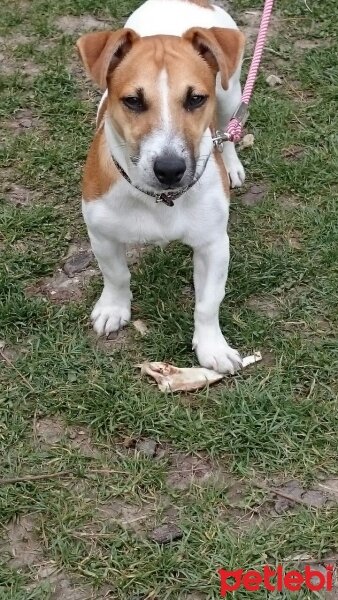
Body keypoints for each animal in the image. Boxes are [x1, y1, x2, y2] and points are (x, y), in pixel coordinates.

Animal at [76, 0, 246, 372]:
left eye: (195, 99)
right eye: (133, 101)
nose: (170, 169)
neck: (160, 199)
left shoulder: (213, 244)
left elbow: (208, 302)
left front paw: (212, 347)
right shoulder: (102, 234)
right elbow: (116, 275)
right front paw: (113, 308)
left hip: (230, 94)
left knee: (228, 129)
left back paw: (232, 165)